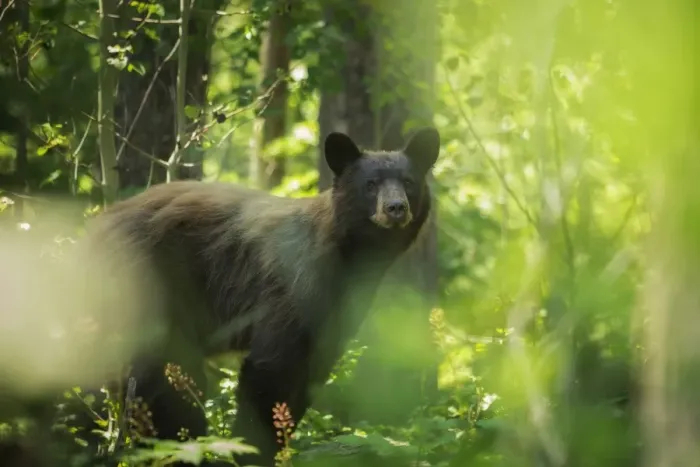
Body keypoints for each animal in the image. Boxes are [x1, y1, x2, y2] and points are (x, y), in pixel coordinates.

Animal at [2, 126, 440, 467]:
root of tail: (90, 231)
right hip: (146, 287)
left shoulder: (338, 311)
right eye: (370, 184)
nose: (396, 208)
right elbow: (270, 369)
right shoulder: (292, 285)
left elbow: (309, 374)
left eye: (408, 182)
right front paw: (252, 451)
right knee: (163, 380)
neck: (348, 255)